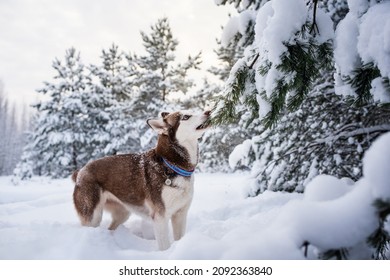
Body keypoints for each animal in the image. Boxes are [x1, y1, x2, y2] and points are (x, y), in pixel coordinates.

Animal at [71, 109, 209, 249]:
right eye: (186, 117)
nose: (208, 112)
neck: (172, 165)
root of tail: (81, 171)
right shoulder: (160, 218)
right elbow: (164, 246)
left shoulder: (180, 215)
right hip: (92, 217)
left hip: (123, 213)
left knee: (111, 228)